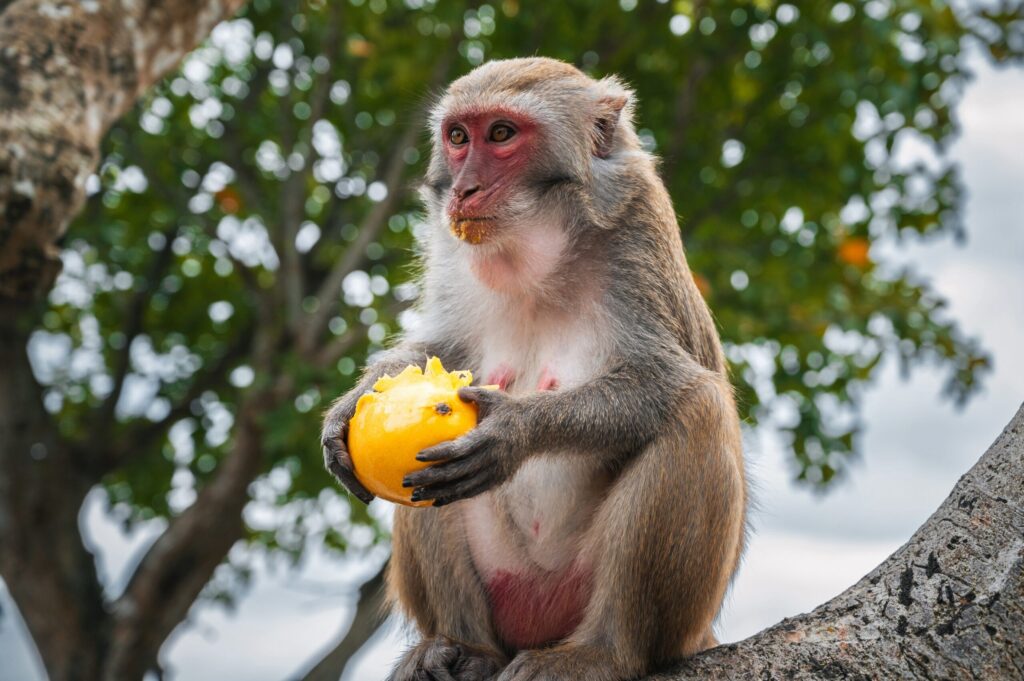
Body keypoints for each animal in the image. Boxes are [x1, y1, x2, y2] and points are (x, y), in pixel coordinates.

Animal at [321, 57, 746, 681]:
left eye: (501, 134)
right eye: (458, 137)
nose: (465, 188)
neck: (535, 247)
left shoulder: (637, 229)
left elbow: (669, 380)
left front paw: (514, 431)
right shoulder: (452, 248)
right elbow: (437, 352)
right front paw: (346, 408)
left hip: (655, 615)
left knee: (697, 409)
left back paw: (603, 652)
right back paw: (461, 647)